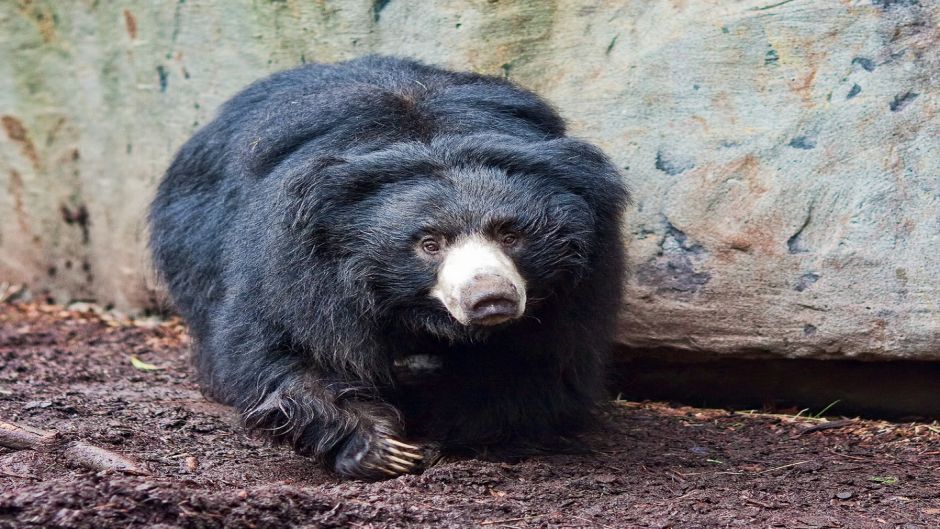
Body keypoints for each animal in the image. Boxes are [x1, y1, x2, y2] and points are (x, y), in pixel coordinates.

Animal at [149, 55, 628, 480]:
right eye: (430, 244)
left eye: (510, 235)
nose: (491, 299)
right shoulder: (296, 268)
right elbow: (288, 347)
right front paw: (381, 449)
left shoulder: (580, 284)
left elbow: (533, 362)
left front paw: (443, 441)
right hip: (193, 236)